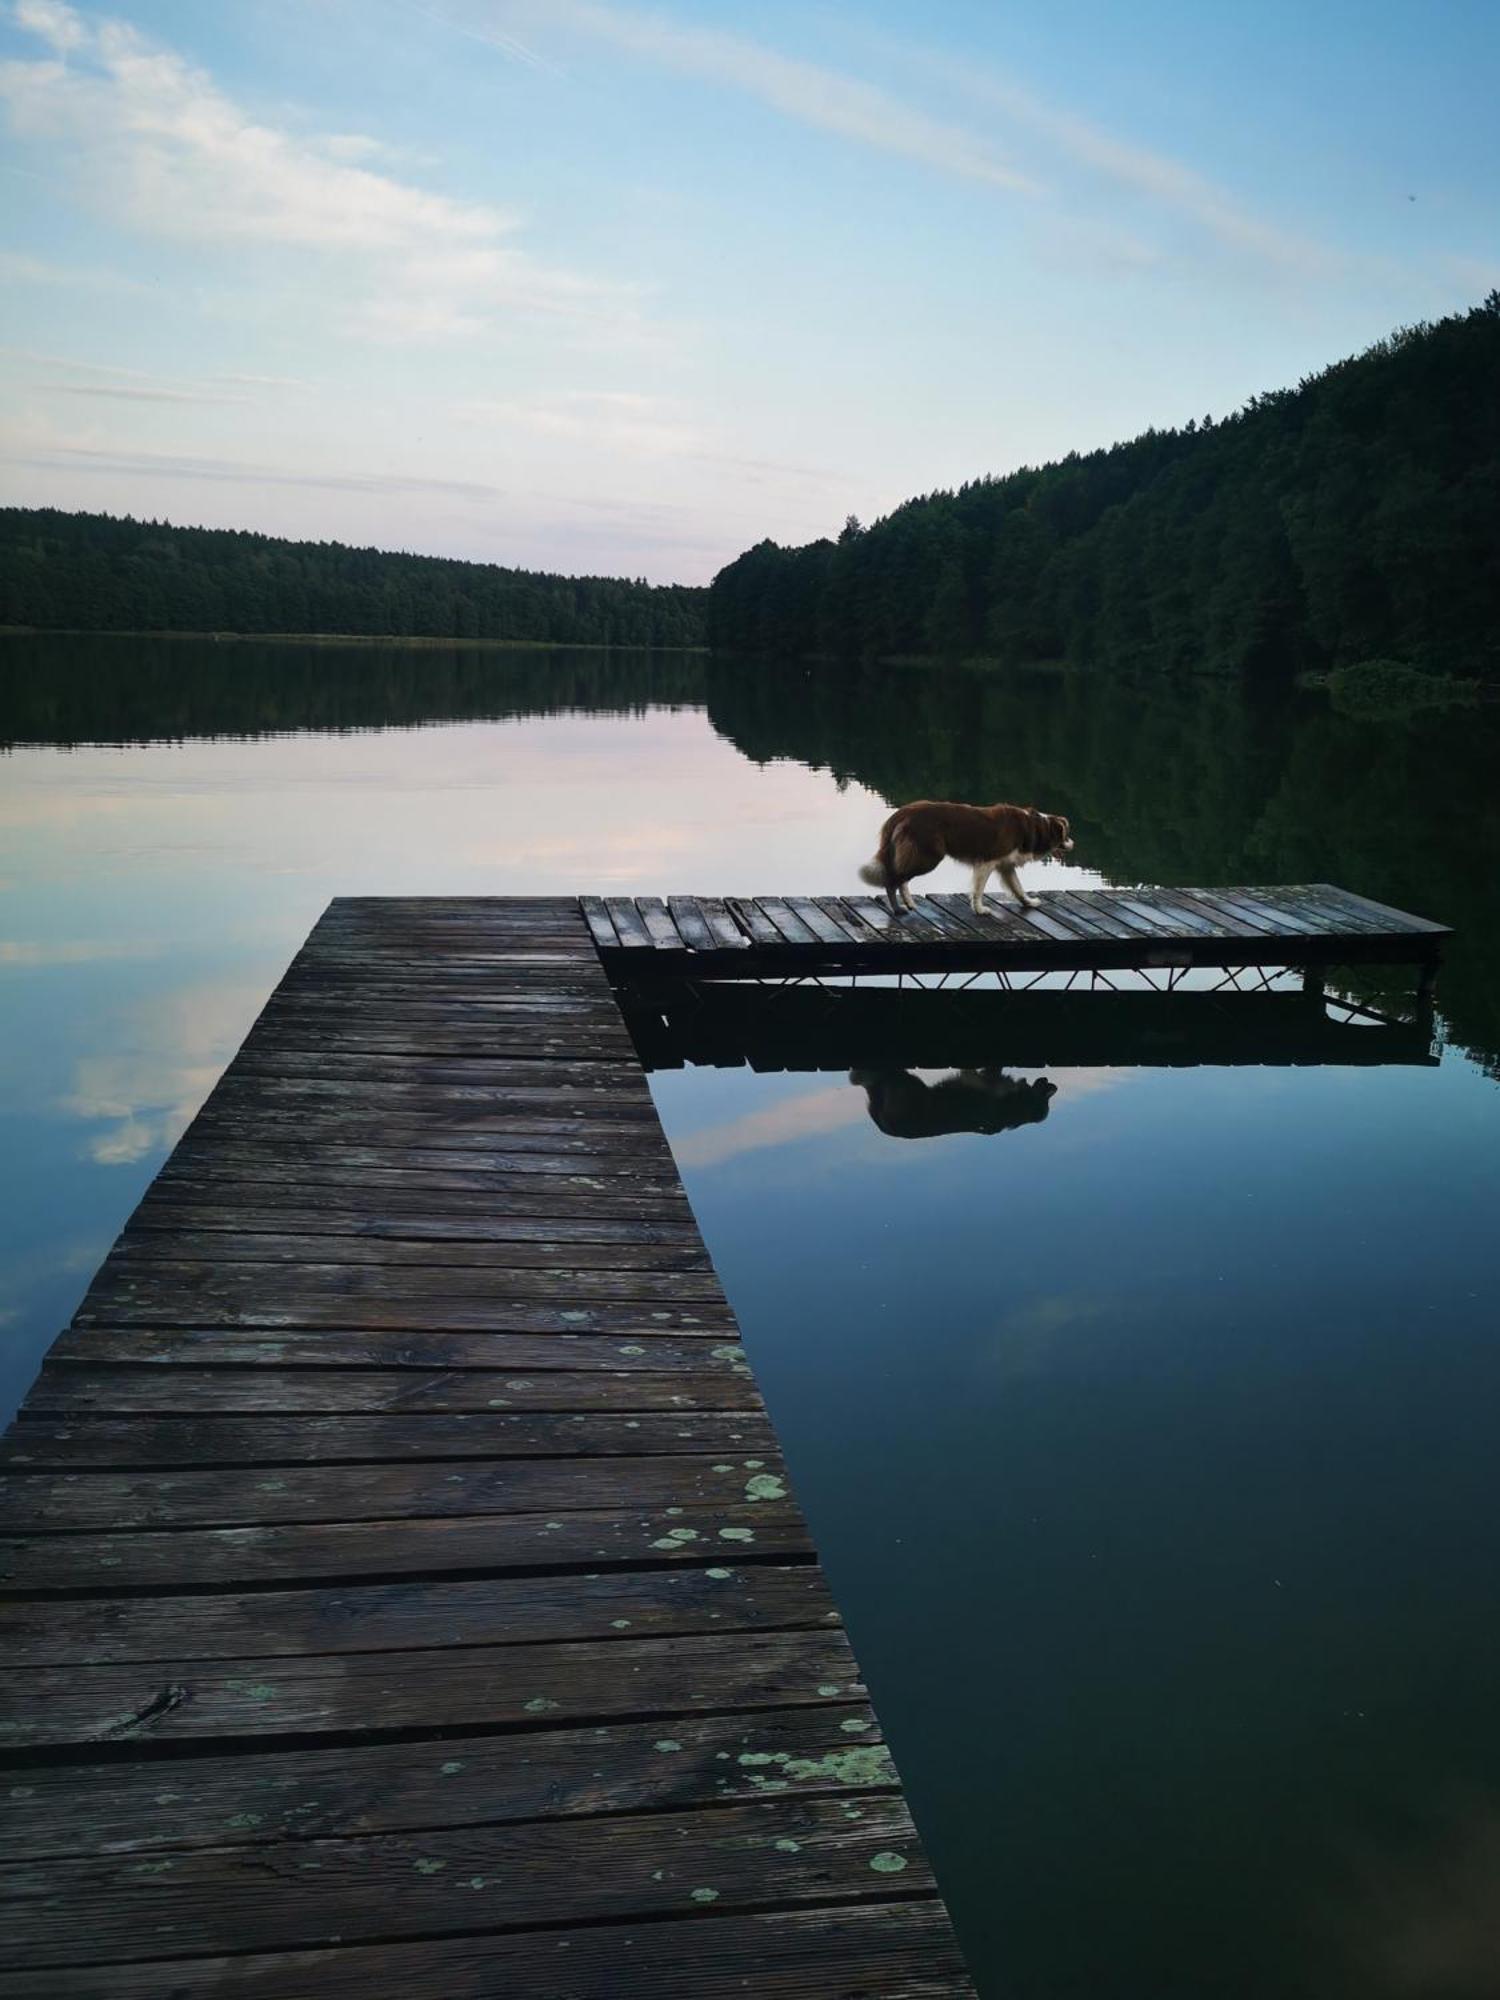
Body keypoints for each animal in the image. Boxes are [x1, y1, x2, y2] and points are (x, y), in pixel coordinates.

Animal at [856, 800, 1080, 916]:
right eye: (1066, 834)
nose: (1073, 843)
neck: (1035, 827)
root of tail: (902, 812)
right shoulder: (988, 861)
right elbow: (978, 890)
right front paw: (980, 909)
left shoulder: (1005, 865)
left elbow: (1018, 887)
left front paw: (1029, 903)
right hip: (928, 856)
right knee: (893, 879)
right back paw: (897, 908)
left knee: (901, 879)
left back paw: (909, 903)